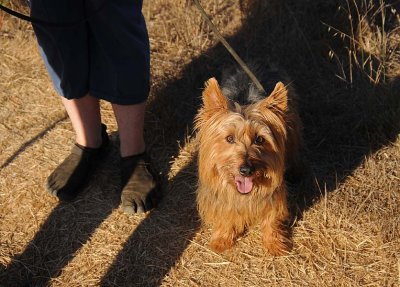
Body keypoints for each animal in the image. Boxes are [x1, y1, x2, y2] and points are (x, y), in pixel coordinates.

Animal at [195, 66, 304, 256]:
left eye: (259, 139)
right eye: (229, 138)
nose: (246, 170)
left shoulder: (274, 195)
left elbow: (272, 218)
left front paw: (275, 244)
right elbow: (225, 215)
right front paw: (222, 239)